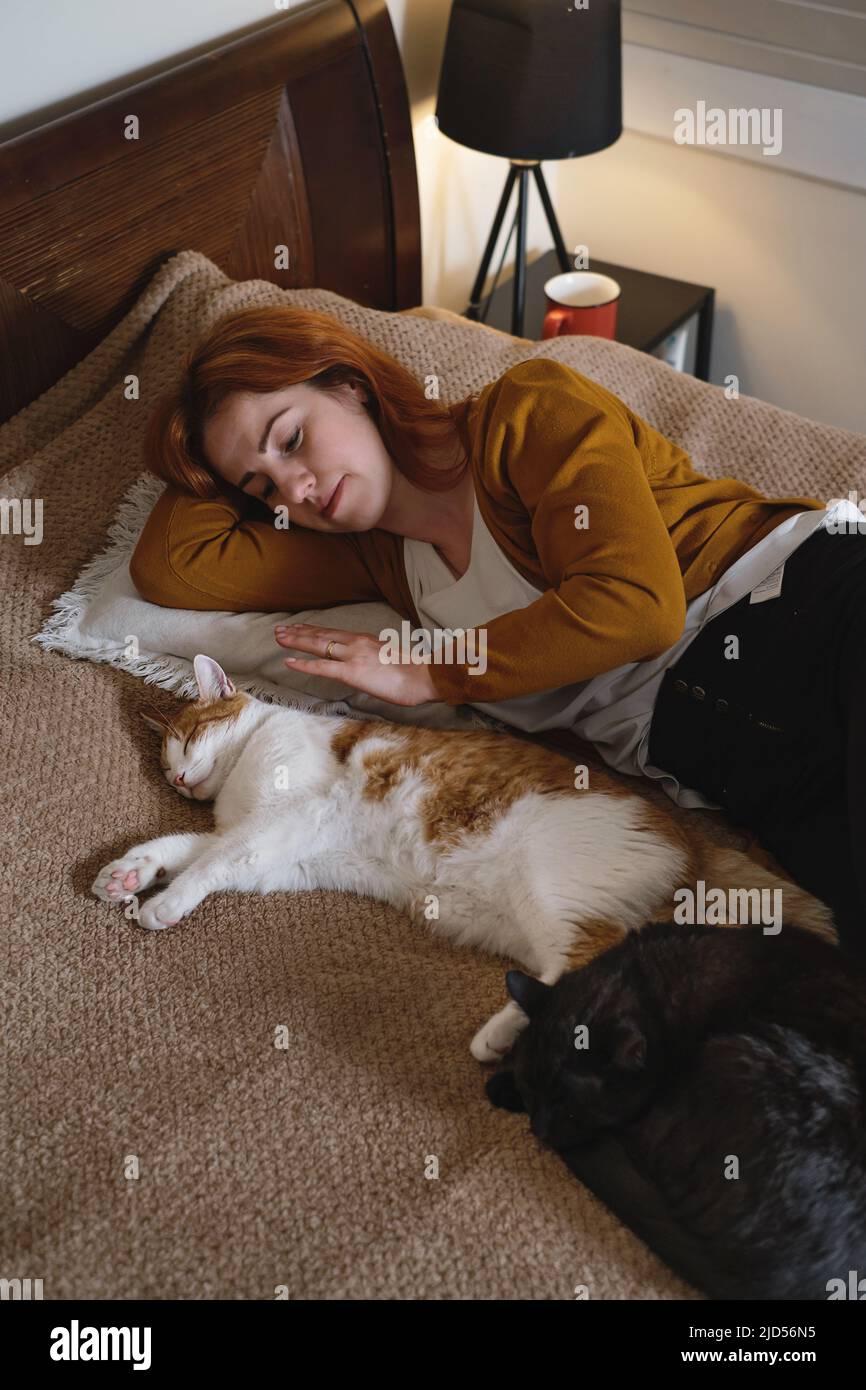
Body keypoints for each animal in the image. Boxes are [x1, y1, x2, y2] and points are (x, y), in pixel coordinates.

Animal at [91, 656, 839, 1056]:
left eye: (187, 740)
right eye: (164, 764)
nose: (177, 778)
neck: (241, 777)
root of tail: (691, 835)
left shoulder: (281, 821)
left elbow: (207, 865)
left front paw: (163, 904)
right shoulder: (268, 849)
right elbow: (183, 848)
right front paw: (129, 873)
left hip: (553, 885)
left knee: (594, 958)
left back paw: (498, 1039)